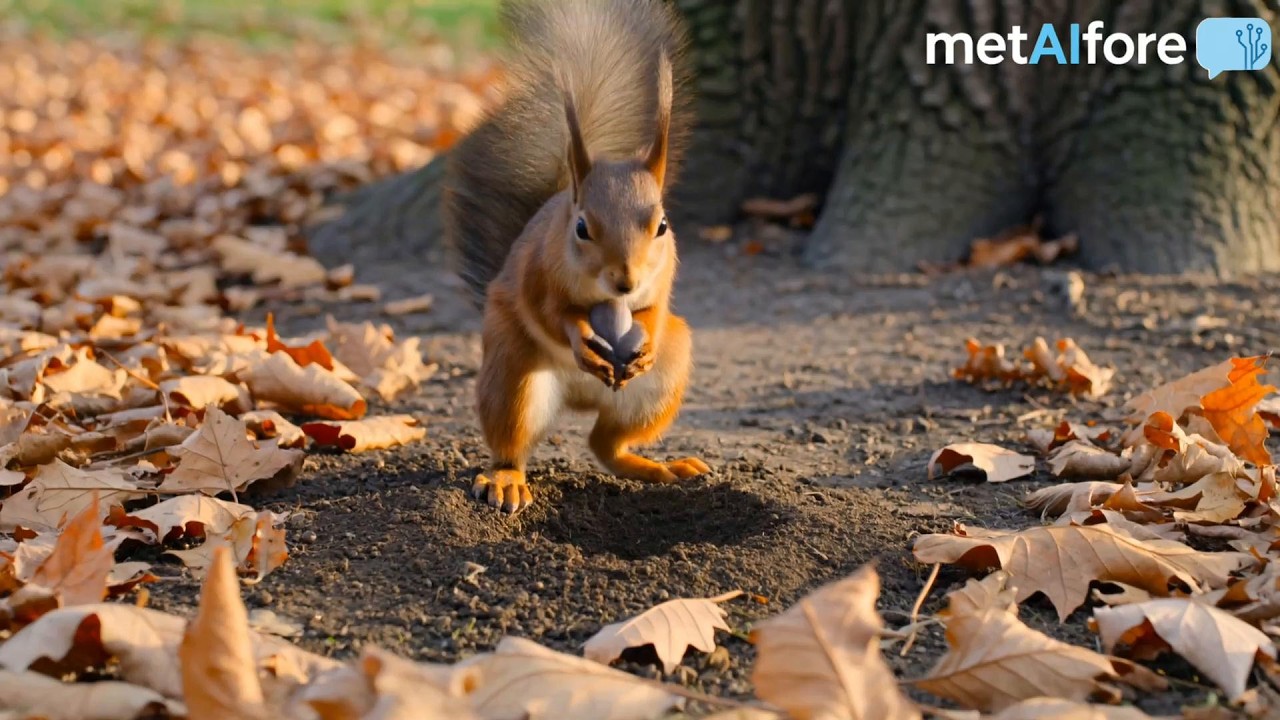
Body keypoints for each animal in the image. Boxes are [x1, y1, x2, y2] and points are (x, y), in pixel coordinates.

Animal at [442, 0, 710, 514]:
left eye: (662, 226)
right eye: (582, 227)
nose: (625, 281)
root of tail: (581, 395)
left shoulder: (664, 275)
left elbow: (656, 307)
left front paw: (644, 331)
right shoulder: (537, 272)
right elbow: (551, 312)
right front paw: (579, 334)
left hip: (663, 377)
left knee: (605, 445)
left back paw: (662, 467)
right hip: (512, 375)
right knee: (511, 443)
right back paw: (506, 480)